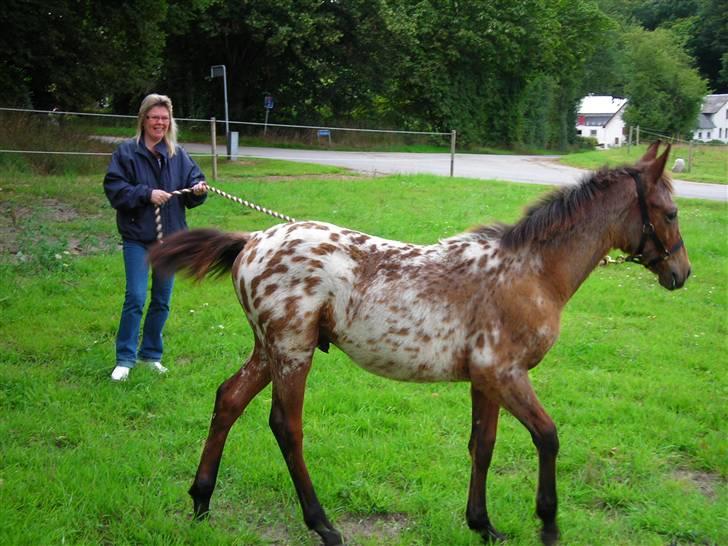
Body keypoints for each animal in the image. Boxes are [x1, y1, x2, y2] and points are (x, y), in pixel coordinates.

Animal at [151, 141, 692, 544]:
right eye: (670, 212)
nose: (682, 274)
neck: (532, 273)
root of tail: (251, 240)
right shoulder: (506, 373)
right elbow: (548, 436)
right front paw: (549, 524)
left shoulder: (485, 379)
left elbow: (484, 445)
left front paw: (483, 525)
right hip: (292, 352)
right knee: (286, 426)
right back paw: (323, 525)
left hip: (268, 349)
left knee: (229, 399)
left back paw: (201, 500)